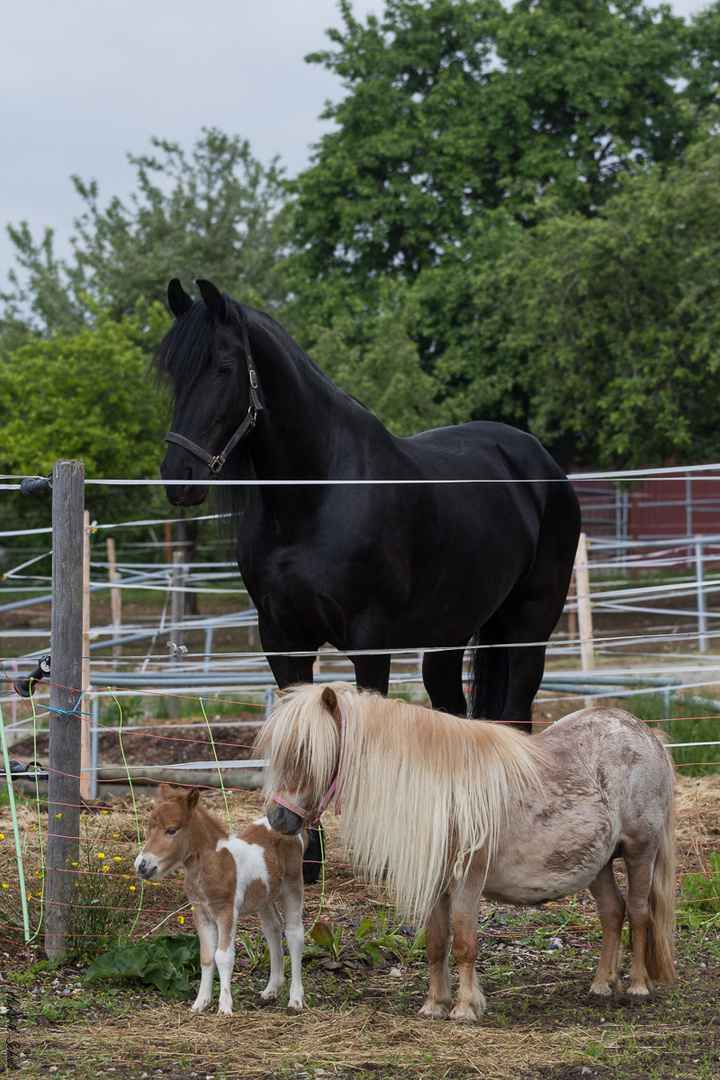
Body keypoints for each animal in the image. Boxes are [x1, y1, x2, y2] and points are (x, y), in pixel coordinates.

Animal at [133, 786, 306, 1010]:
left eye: (171, 830)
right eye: (149, 827)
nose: (141, 865)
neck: (215, 863)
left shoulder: (227, 911)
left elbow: (223, 956)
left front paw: (224, 1007)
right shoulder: (201, 914)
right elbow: (207, 957)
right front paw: (200, 1003)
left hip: (293, 885)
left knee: (294, 933)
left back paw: (295, 999)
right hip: (264, 897)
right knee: (273, 928)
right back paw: (271, 991)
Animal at [257, 682, 677, 1019]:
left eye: (308, 752)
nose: (278, 818)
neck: (443, 795)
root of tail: (646, 732)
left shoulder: (467, 884)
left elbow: (463, 945)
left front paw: (465, 1008)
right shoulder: (435, 885)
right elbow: (435, 945)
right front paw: (435, 1005)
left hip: (640, 851)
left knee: (639, 912)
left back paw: (638, 985)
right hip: (598, 863)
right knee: (612, 912)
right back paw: (603, 984)